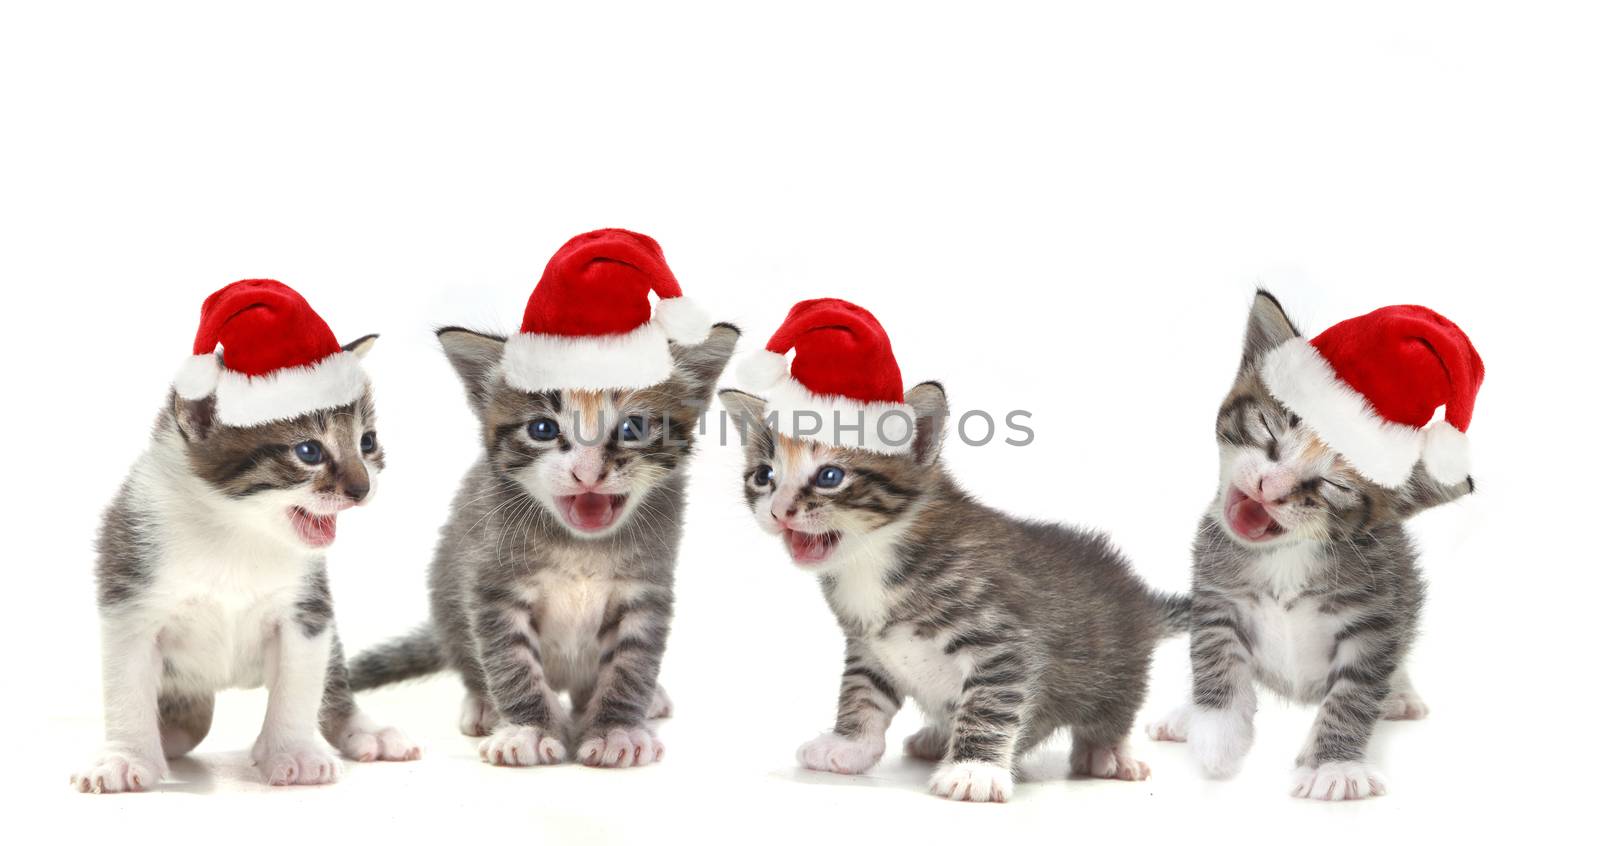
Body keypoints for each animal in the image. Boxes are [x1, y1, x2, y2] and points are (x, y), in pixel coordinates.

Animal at [350, 321, 736, 764]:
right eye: (542, 429)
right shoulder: (493, 585)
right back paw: (484, 704)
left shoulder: (646, 589)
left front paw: (617, 730)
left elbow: (630, 665)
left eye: (633, 427)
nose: (588, 473)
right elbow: (512, 662)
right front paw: (528, 729)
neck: (582, 546)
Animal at [716, 379, 1190, 802]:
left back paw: (1106, 751)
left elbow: (988, 705)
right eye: (764, 475)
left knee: (1112, 711)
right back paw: (936, 736)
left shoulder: (1001, 642)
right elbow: (862, 695)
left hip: (1116, 667)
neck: (875, 557)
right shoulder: (869, 647)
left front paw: (974, 770)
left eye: (830, 475)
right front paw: (849, 745)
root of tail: (1140, 597)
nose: (778, 511)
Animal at [1152, 291, 1472, 799]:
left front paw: (1335, 765)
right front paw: (1217, 732)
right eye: (1269, 429)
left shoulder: (1375, 620)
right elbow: (1214, 655)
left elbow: (1355, 692)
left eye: (1334, 484)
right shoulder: (1215, 595)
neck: (1286, 556)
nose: (1270, 485)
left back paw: (1399, 693)